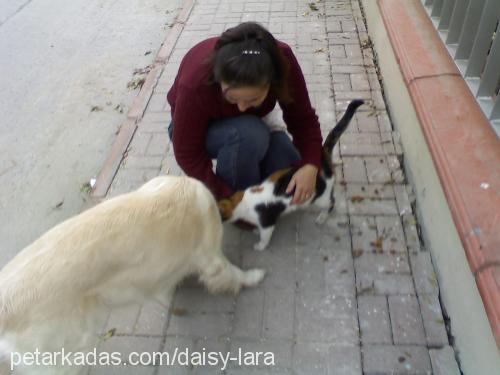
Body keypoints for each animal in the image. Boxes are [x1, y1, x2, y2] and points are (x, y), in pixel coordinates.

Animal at [218, 100, 364, 253]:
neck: (241, 201)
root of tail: (322, 158)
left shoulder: (267, 222)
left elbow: (265, 237)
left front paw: (259, 245)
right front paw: (256, 231)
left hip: (320, 197)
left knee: (331, 202)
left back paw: (322, 217)